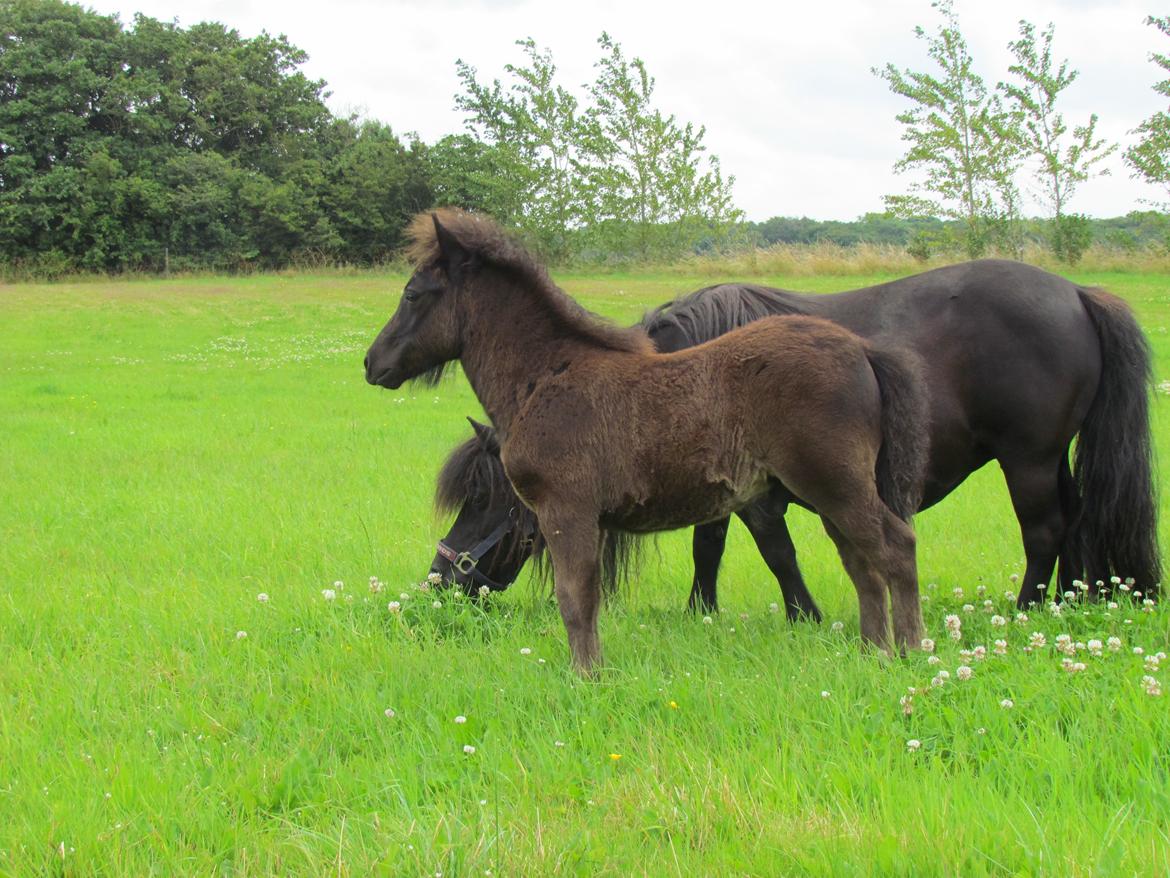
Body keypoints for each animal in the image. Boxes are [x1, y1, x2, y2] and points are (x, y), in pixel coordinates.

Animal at [425, 264, 1155, 613]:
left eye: (486, 497)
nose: (438, 578)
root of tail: (1076, 293)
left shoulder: (756, 494)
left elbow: (774, 552)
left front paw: (803, 615)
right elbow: (709, 548)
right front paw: (700, 612)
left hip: (1026, 459)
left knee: (1046, 531)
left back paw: (1028, 608)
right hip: (1051, 459)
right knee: (1077, 522)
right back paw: (1070, 602)